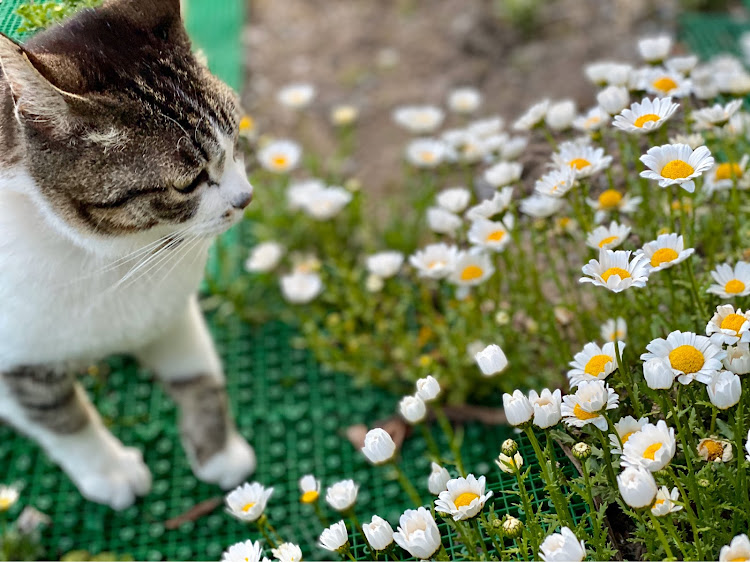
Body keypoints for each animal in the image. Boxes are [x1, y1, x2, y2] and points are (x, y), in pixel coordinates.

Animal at [0, 0, 258, 510]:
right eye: (187, 183)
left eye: (236, 137)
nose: (245, 198)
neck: (112, 257)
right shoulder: (15, 364)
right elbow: (61, 418)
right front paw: (110, 472)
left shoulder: (166, 307)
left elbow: (199, 373)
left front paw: (220, 451)